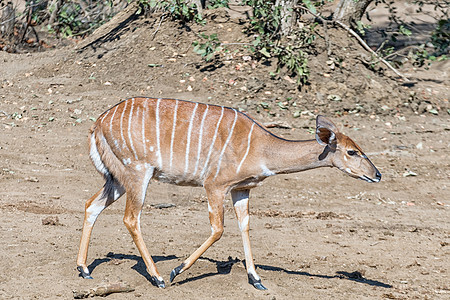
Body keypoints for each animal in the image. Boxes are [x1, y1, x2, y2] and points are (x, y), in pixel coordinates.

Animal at [76, 97, 380, 290]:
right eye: (352, 152)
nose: (377, 174)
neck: (262, 147)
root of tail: (98, 122)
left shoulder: (242, 189)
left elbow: (244, 226)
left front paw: (256, 279)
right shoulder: (215, 185)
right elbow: (219, 228)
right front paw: (177, 270)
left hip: (118, 179)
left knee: (92, 205)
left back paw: (84, 269)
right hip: (138, 173)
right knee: (131, 218)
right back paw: (158, 277)